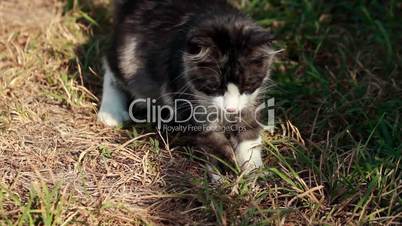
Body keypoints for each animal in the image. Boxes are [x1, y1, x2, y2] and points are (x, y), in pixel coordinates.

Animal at [98, 0, 276, 177]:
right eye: (215, 87)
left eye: (247, 85)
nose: (230, 110)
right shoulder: (186, 98)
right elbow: (212, 139)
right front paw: (224, 169)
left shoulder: (249, 101)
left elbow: (249, 132)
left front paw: (253, 168)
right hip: (127, 58)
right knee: (109, 66)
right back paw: (111, 111)